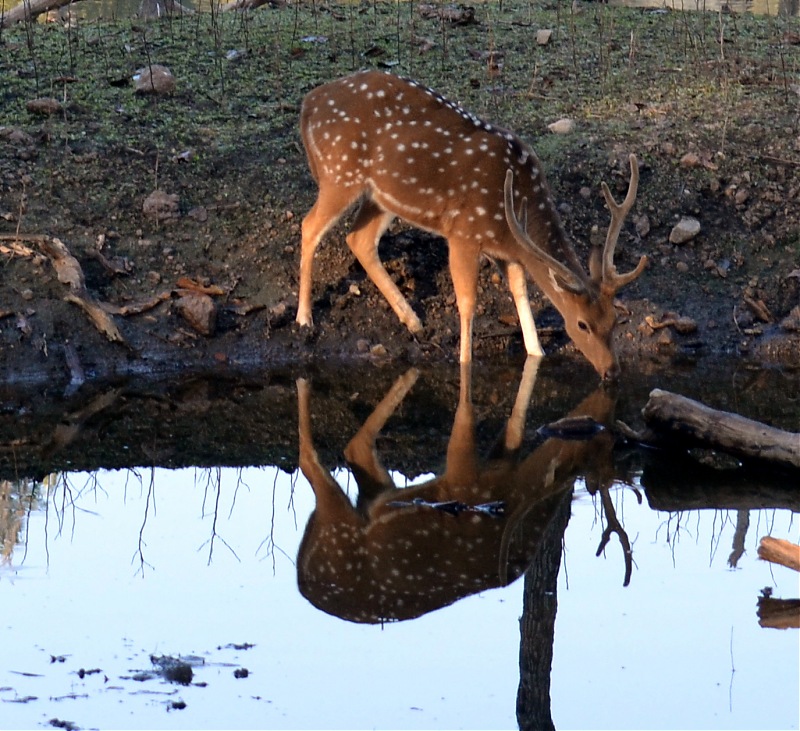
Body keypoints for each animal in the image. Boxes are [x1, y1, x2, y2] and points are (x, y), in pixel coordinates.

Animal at [296, 71, 648, 380]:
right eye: (582, 324)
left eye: (615, 319)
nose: (612, 371)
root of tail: (309, 103)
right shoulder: (463, 233)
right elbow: (468, 303)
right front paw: (464, 363)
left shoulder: (508, 251)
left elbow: (520, 293)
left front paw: (537, 354)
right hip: (340, 174)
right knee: (309, 225)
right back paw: (304, 319)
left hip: (381, 196)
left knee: (359, 239)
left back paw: (413, 321)